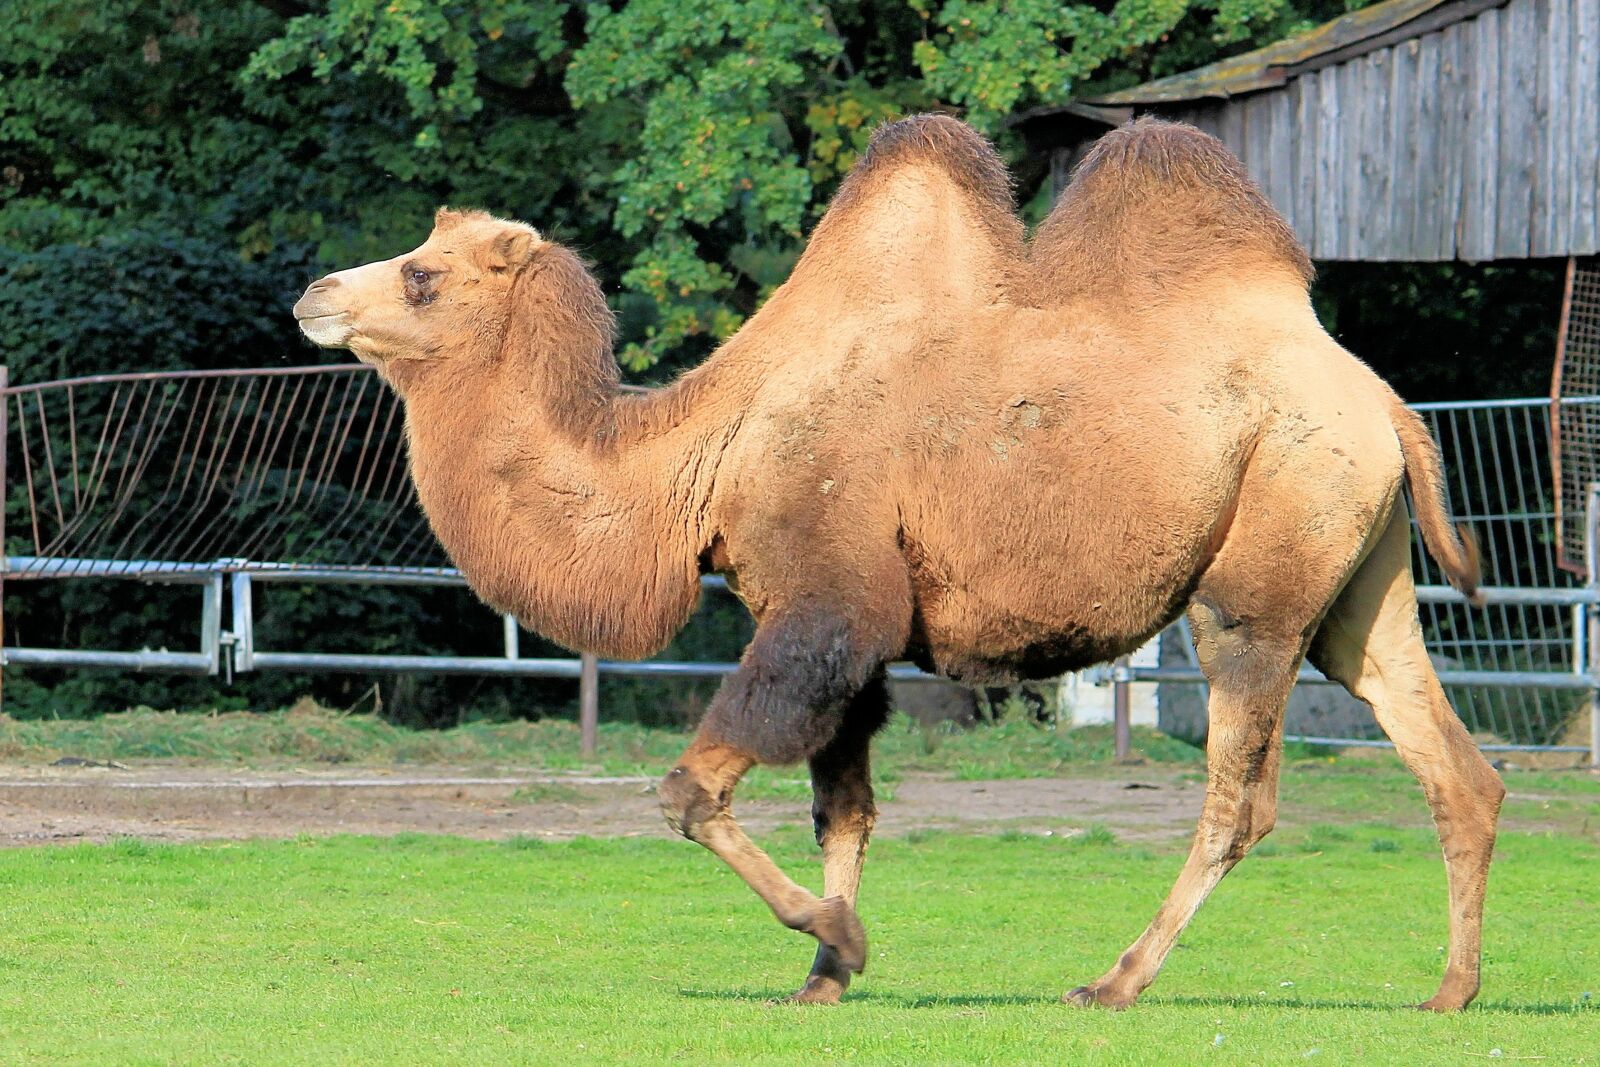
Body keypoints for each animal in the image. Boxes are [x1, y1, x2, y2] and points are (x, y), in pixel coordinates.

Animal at [293, 115, 1504, 1012]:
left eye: (422, 275)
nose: (313, 294)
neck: (704, 451)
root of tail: (1388, 404)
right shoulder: (850, 633)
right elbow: (845, 809)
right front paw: (824, 974)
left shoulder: (827, 605)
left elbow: (692, 790)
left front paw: (839, 934)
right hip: (1357, 573)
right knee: (1448, 757)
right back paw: (1449, 989)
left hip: (1261, 561)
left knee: (1237, 791)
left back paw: (1112, 981)